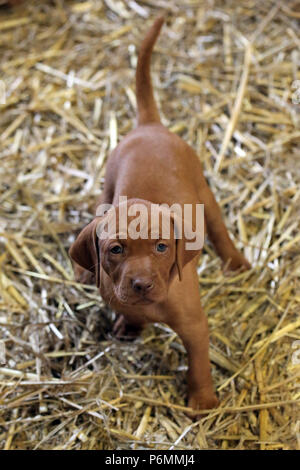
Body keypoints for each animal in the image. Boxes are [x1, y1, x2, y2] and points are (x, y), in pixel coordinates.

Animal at [69, 17, 250, 414]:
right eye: (116, 249)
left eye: (162, 248)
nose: (140, 284)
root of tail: (149, 126)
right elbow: (131, 312)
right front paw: (131, 325)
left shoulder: (194, 324)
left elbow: (198, 362)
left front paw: (202, 399)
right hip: (107, 187)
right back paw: (83, 270)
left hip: (204, 193)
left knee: (219, 228)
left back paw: (235, 262)